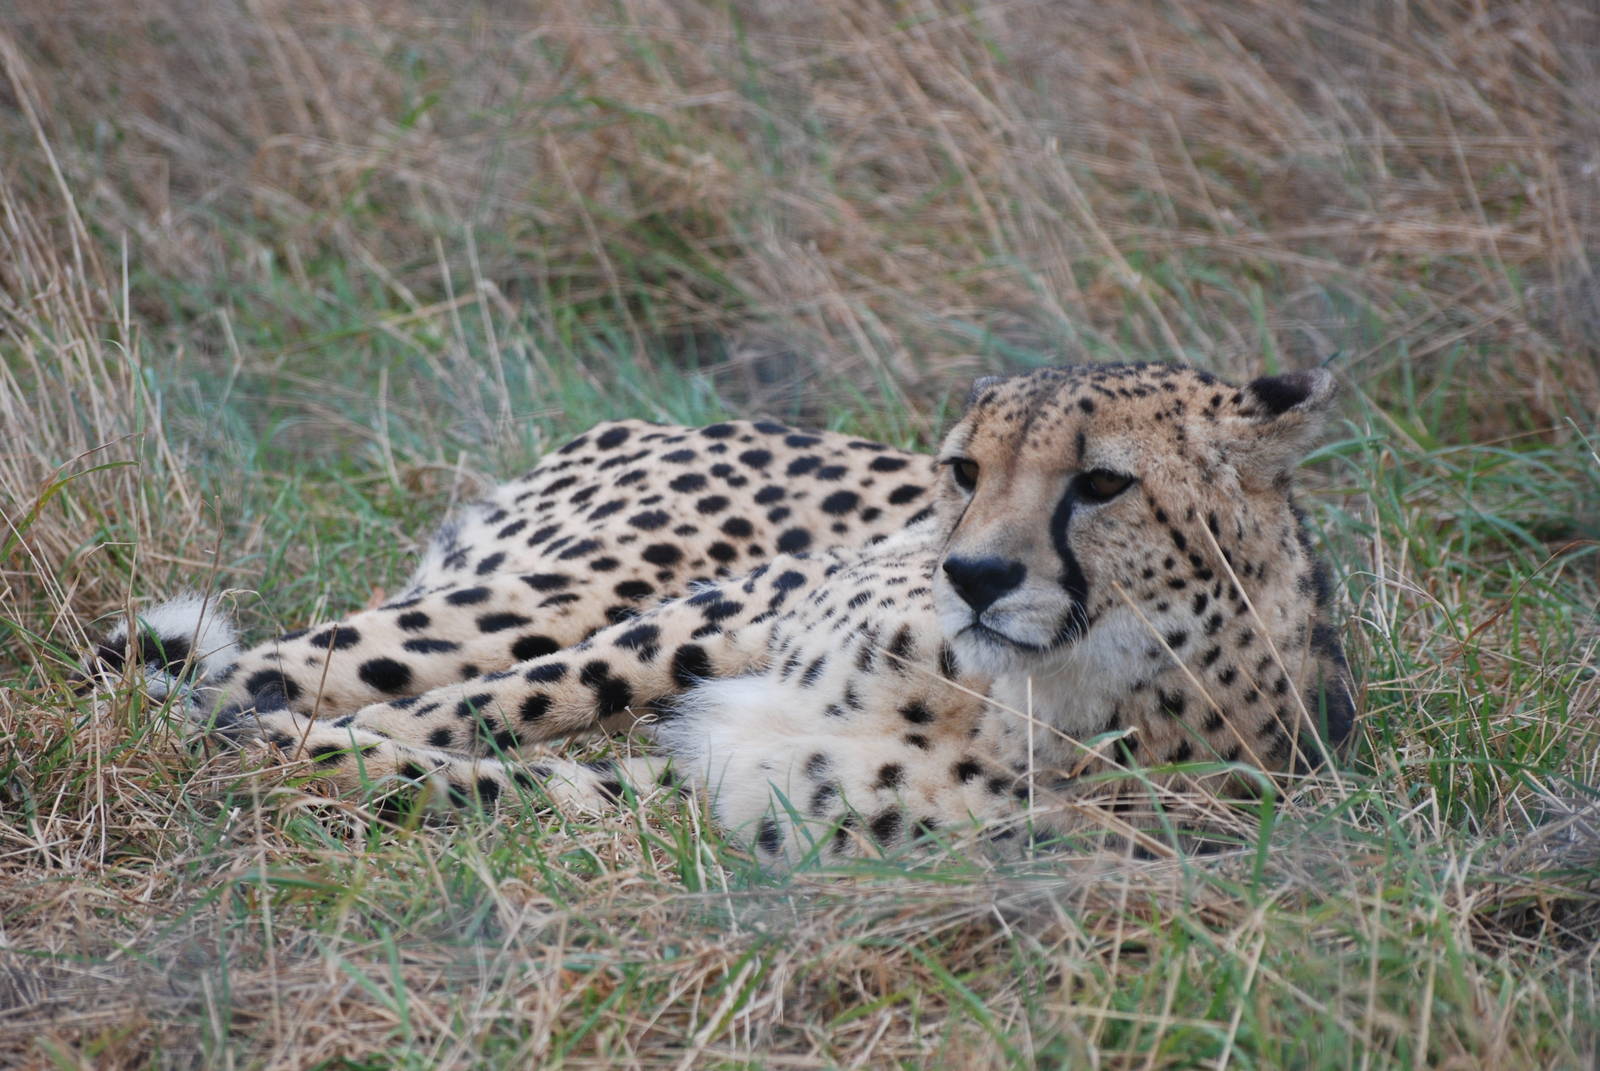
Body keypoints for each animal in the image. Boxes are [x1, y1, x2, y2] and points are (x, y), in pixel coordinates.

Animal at [88, 362, 1356, 863]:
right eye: (964, 470)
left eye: (1100, 483)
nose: (973, 576)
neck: (1027, 696)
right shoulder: (750, 603)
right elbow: (517, 701)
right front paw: (256, 741)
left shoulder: (724, 789)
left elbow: (493, 780)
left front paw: (285, 759)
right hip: (562, 583)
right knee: (301, 657)